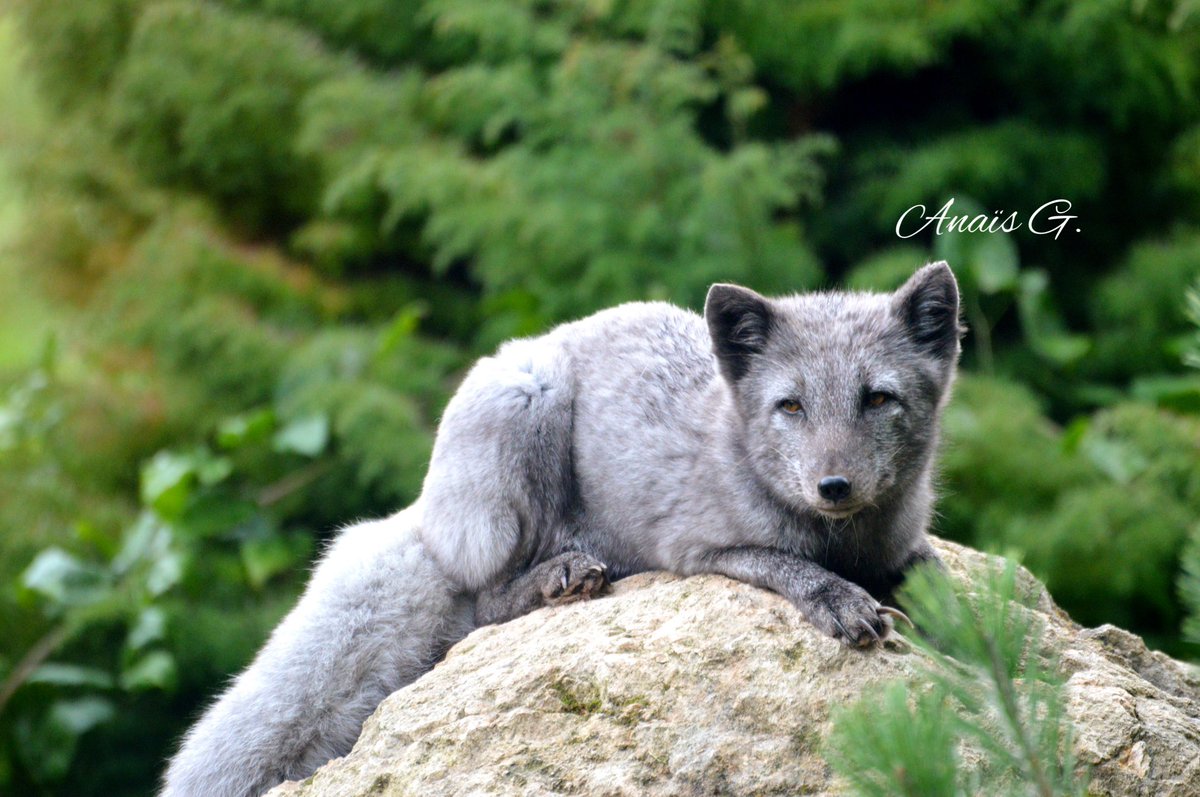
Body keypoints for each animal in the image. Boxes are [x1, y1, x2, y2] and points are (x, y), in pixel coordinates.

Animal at [161, 262, 962, 797]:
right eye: (790, 406)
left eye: (878, 398)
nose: (834, 486)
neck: (847, 537)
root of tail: (425, 513)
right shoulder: (700, 546)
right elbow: (790, 567)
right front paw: (842, 600)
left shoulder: (902, 544)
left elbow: (938, 579)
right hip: (526, 402)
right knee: (483, 602)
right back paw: (559, 577)